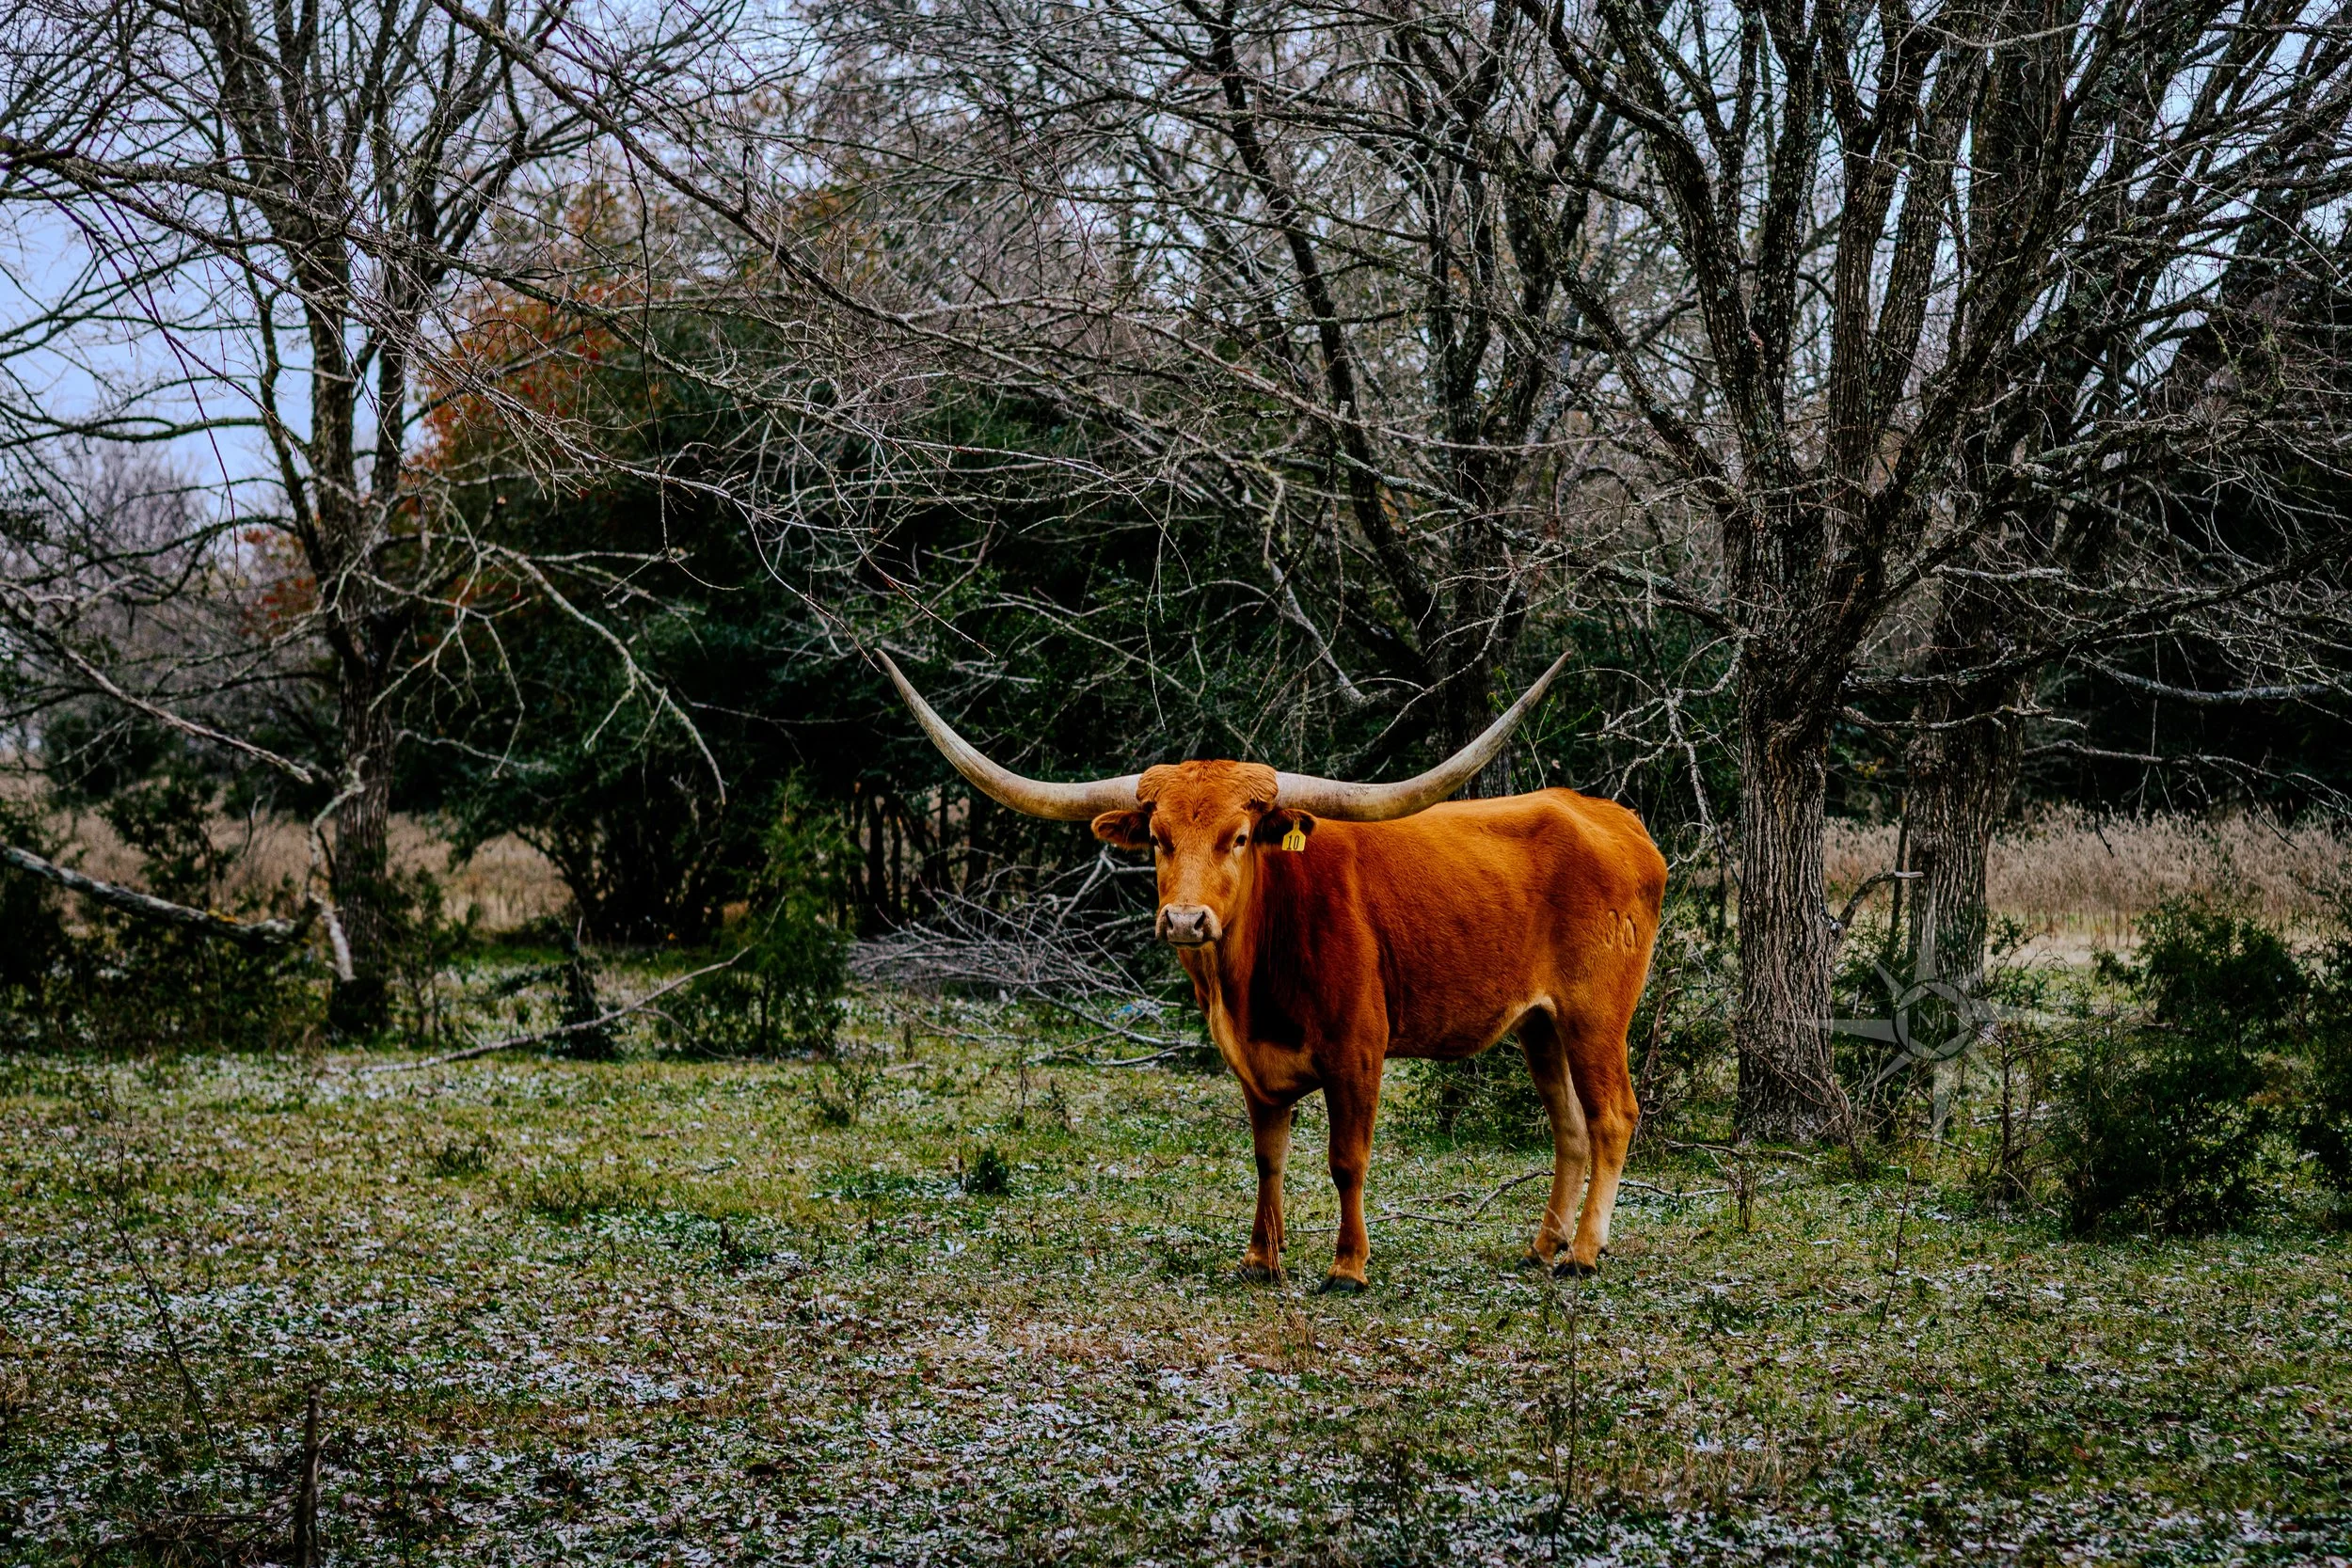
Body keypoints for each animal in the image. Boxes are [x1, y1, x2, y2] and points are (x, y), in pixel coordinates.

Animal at [879, 652, 1665, 1292]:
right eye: (1158, 838)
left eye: (1237, 838)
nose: (1185, 920)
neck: (1254, 974)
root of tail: (1615, 818)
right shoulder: (1252, 1063)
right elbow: (1268, 1157)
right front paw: (1261, 1257)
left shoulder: (1358, 1052)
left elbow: (1347, 1158)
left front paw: (1348, 1265)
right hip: (1540, 1023)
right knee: (1568, 1124)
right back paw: (1543, 1245)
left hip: (1596, 1014)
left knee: (1612, 1115)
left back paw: (1583, 1252)